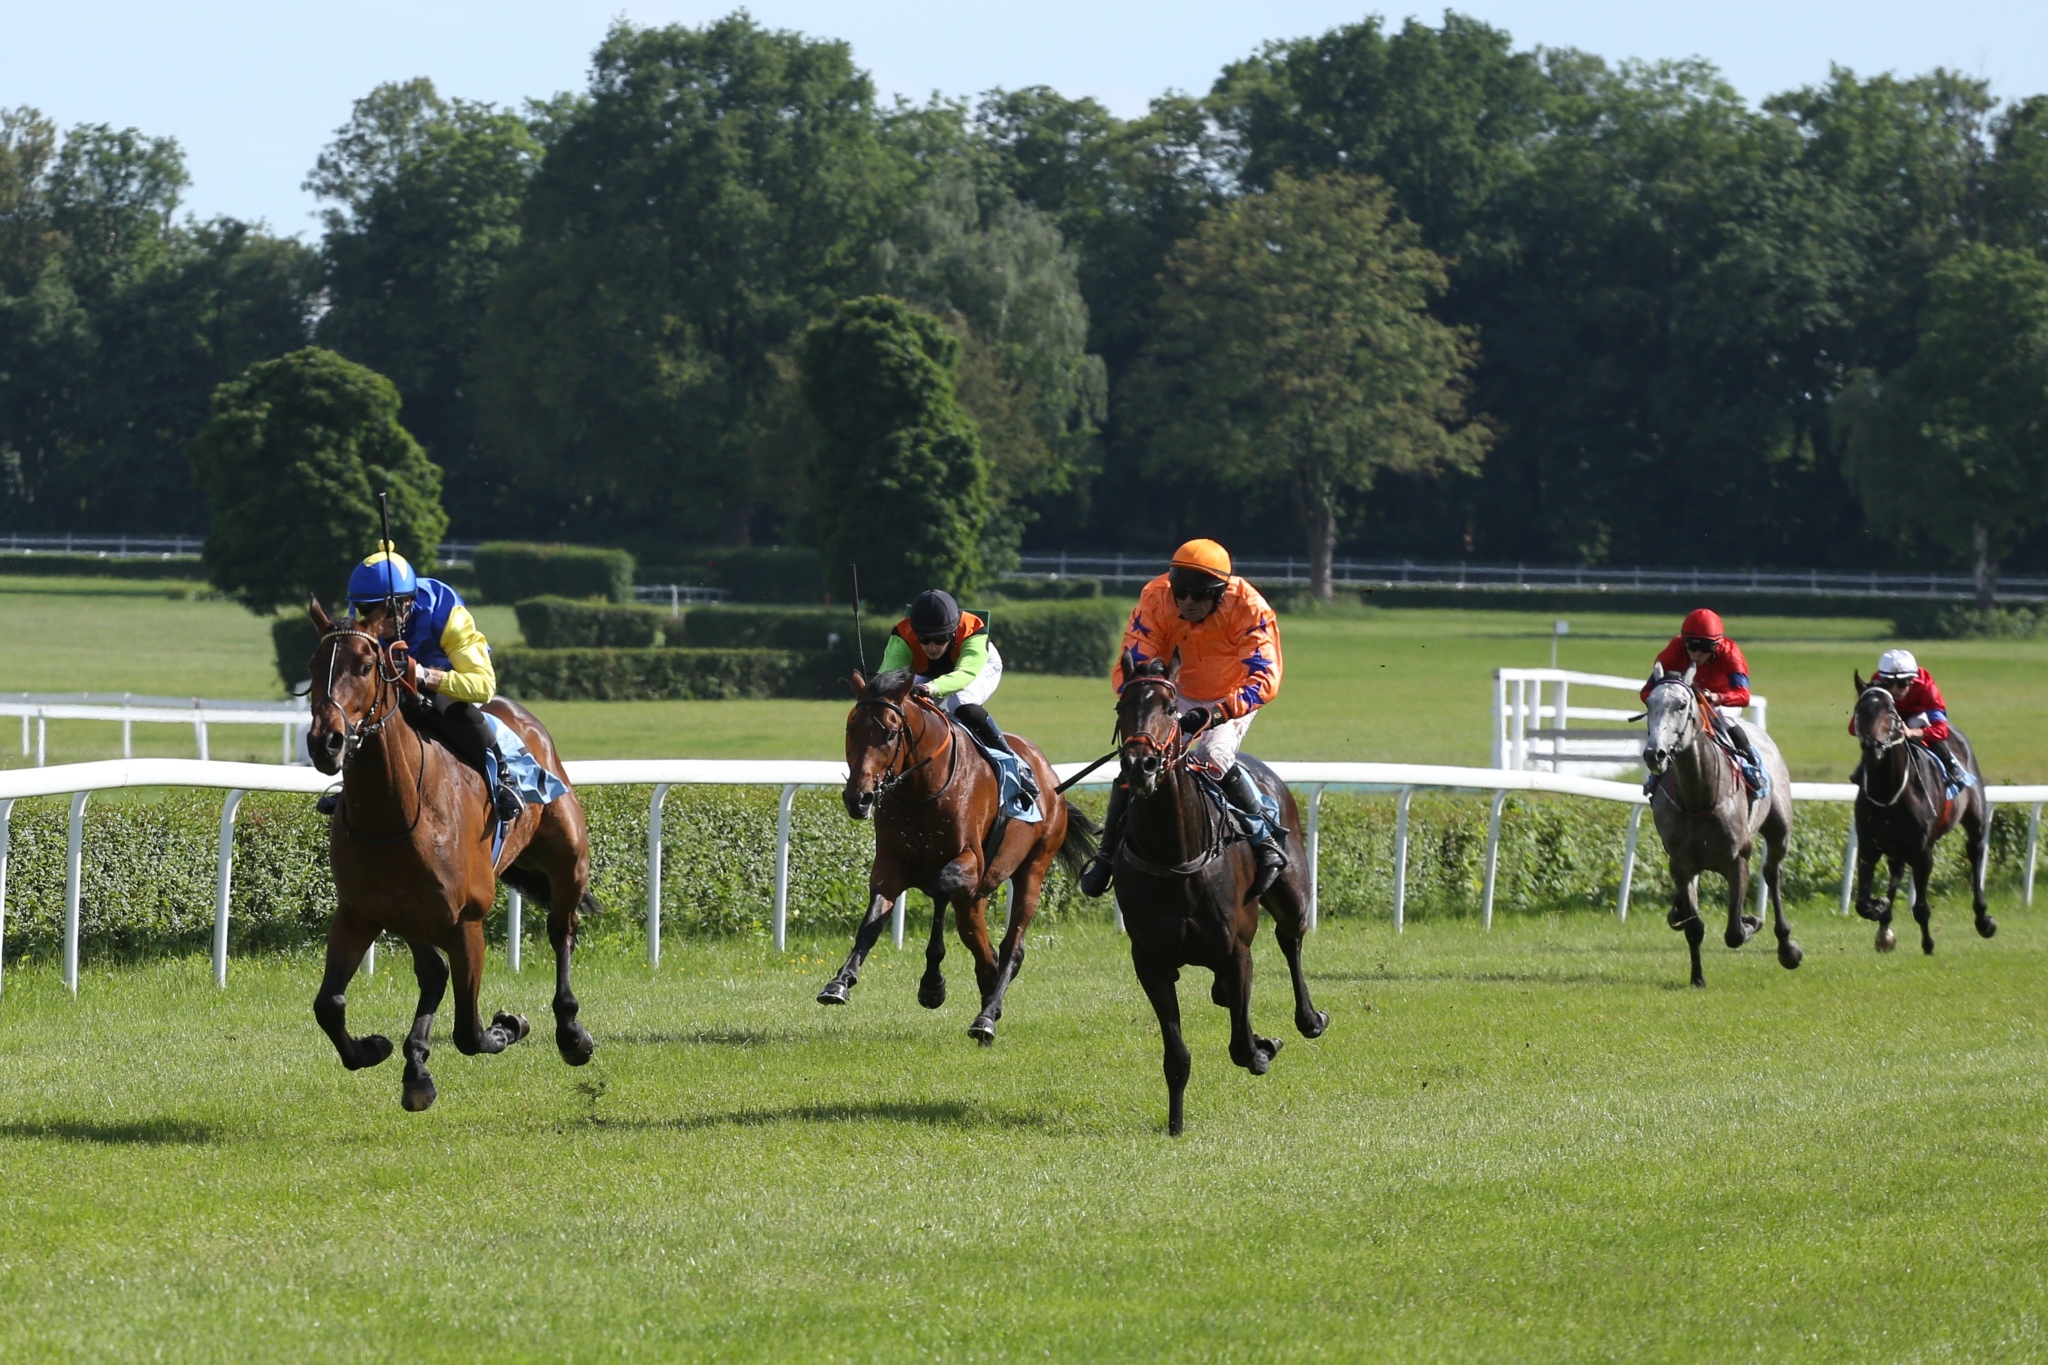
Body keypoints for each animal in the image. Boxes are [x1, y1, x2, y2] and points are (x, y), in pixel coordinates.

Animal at [301, 597, 598, 1113]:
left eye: (365, 666)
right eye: (315, 666)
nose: (326, 741)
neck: (394, 814)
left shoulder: (466, 921)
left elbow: (470, 1032)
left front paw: (509, 1026)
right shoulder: (363, 911)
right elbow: (329, 1005)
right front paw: (375, 1049)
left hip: (567, 860)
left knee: (562, 930)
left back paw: (571, 1033)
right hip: (411, 914)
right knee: (432, 972)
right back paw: (415, 1066)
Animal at [819, 667, 1105, 1039]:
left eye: (891, 733)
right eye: (851, 729)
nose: (859, 798)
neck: (922, 790)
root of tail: (1050, 775)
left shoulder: (966, 861)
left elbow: (941, 890)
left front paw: (932, 985)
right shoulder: (890, 865)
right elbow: (871, 920)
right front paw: (840, 981)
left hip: (1034, 865)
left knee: (1012, 947)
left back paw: (986, 1017)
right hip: (977, 895)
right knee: (979, 941)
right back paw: (989, 994)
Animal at [1105, 654, 1327, 1137]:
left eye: (1171, 709)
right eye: (1121, 707)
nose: (1140, 765)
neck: (1177, 855)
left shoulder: (1235, 950)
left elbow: (1242, 1046)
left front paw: (1264, 1047)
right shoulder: (1150, 961)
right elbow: (1177, 1056)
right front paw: (1175, 1124)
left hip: (1292, 896)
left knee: (1291, 940)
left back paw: (1309, 1018)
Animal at [1638, 667, 1802, 986]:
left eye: (1682, 705)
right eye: (1649, 703)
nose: (1655, 754)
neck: (1699, 797)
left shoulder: (1737, 860)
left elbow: (1735, 932)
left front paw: (1751, 921)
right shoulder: (1682, 866)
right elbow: (1694, 927)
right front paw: (1697, 977)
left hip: (1779, 830)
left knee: (1772, 873)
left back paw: (1787, 948)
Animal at [1851, 675, 1990, 957]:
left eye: (1890, 712)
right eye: (1859, 710)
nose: (1872, 747)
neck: (1889, 790)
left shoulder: (1922, 851)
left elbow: (1921, 907)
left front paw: (1928, 944)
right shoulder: (1869, 846)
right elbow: (1862, 904)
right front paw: (1879, 907)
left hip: (1975, 819)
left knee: (1976, 852)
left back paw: (1984, 919)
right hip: (1895, 847)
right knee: (1896, 871)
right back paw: (1884, 929)